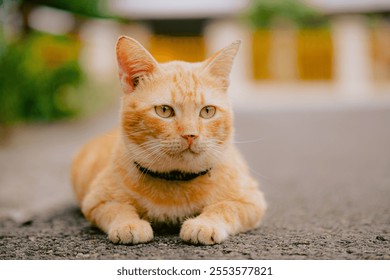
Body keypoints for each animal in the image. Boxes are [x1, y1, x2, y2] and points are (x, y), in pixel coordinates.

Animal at [71, 36, 266, 244]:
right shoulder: (97, 201)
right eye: (164, 110)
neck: (175, 181)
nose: (190, 135)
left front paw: (204, 224)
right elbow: (118, 208)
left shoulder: (251, 200)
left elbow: (223, 207)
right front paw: (129, 224)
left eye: (207, 111)